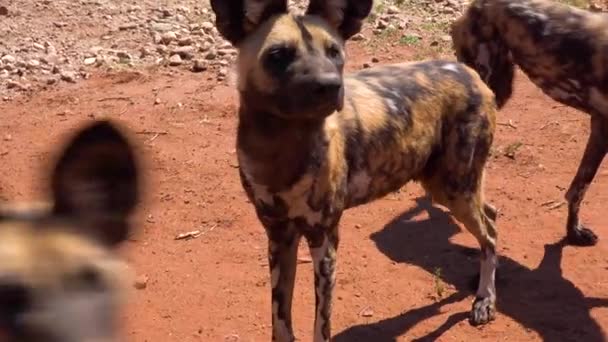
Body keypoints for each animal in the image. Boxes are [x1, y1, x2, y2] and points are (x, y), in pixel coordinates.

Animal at [211, 0, 502, 340]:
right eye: (279, 54)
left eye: (334, 52)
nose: (329, 86)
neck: (279, 149)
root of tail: (469, 72)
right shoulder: (279, 236)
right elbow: (281, 321)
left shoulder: (324, 241)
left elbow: (320, 325)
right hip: (455, 188)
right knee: (491, 217)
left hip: (452, 189)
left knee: (490, 234)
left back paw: (485, 300)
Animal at [452, 0, 608, 247]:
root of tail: (478, 4)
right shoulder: (602, 126)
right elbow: (578, 190)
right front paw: (573, 232)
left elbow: (578, 188)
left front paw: (572, 231)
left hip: (500, 88)